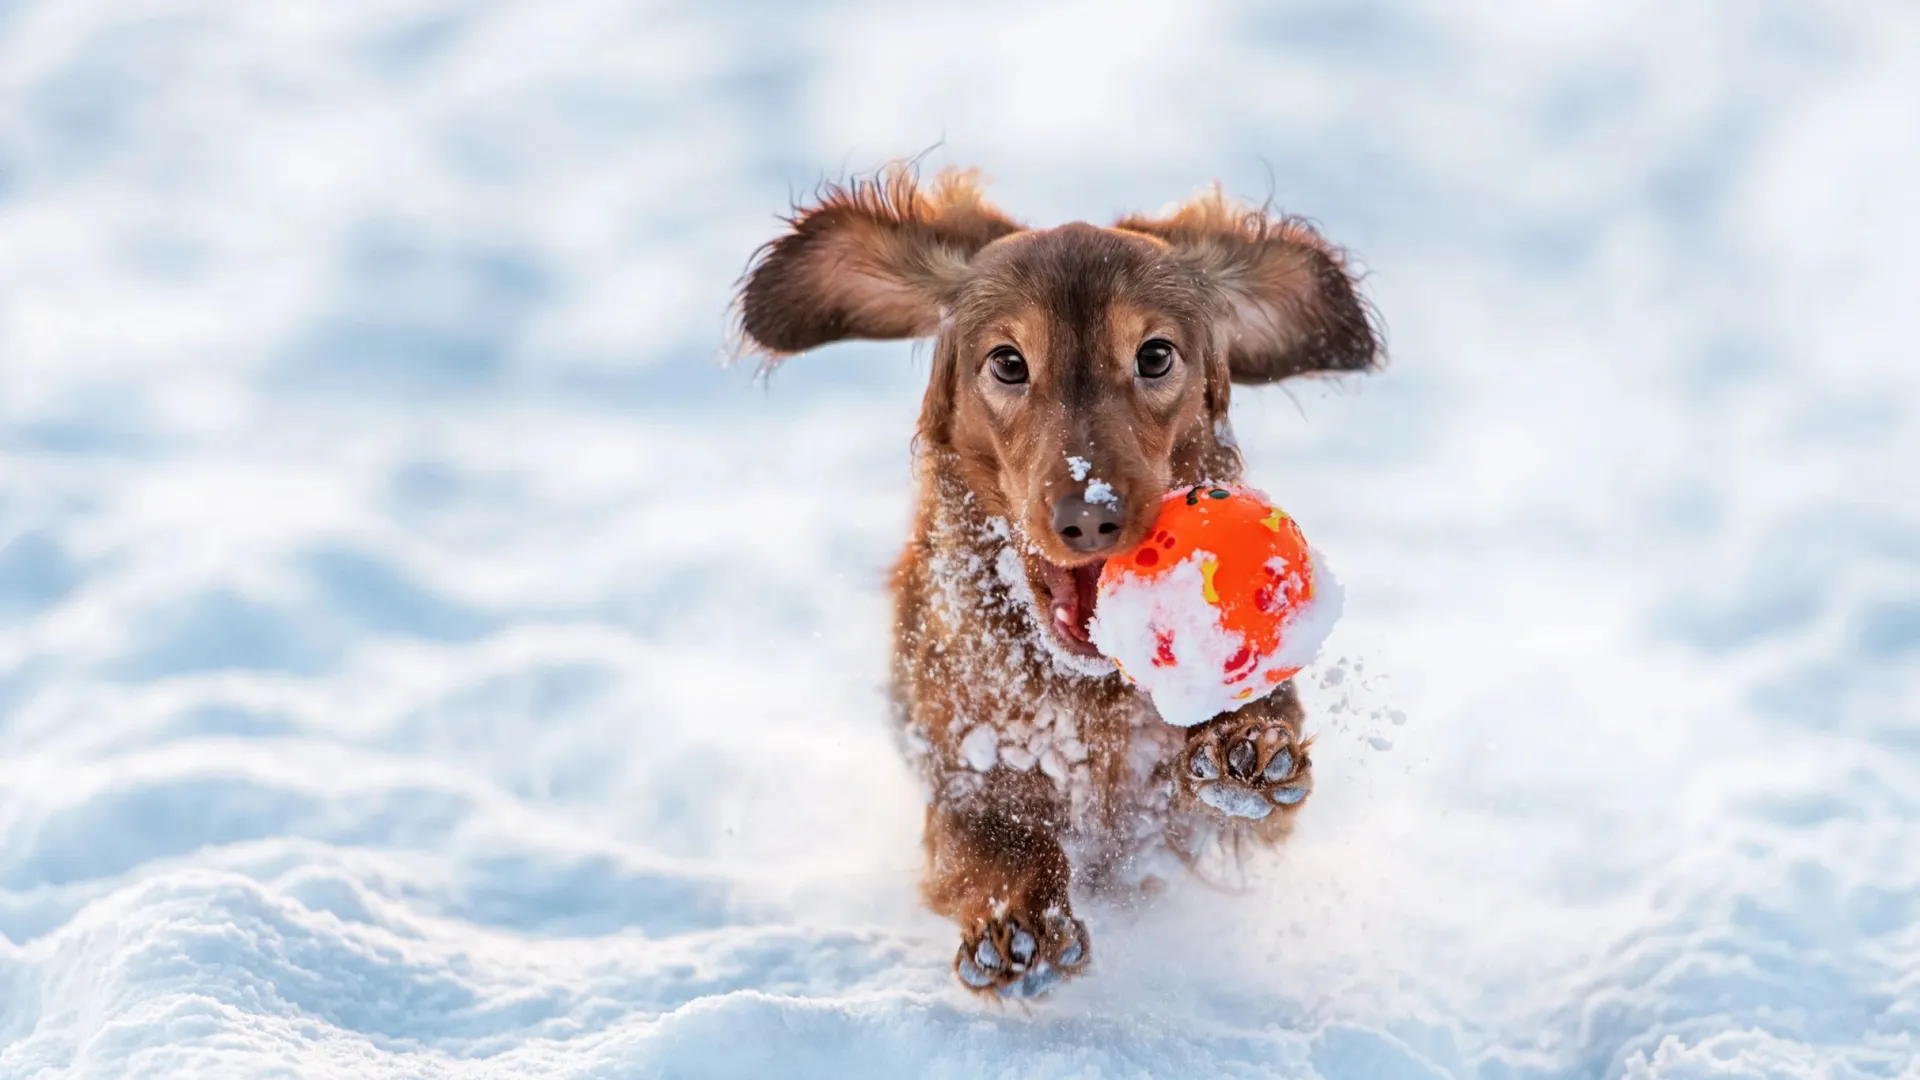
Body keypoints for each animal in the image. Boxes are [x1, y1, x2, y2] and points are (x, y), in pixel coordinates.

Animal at [733, 164, 1382, 999]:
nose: (1090, 516)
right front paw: (1019, 922)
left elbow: (1252, 772)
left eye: (1155, 356)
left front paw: (1245, 744)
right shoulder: (963, 766)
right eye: (1009, 363)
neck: (1085, 695)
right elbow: (991, 838)